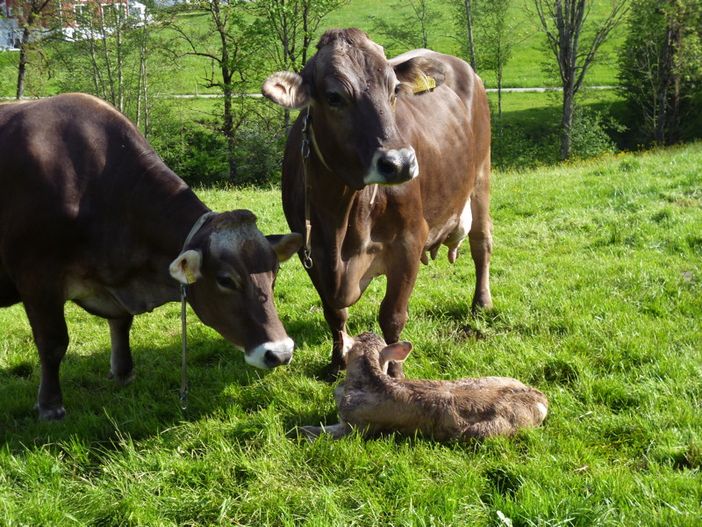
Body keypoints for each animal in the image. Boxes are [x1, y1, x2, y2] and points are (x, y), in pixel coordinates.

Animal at [264, 28, 496, 378]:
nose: (400, 163)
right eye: (334, 96)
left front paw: (395, 373)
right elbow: (334, 314)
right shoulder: (310, 250)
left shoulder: (409, 241)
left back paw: (481, 303)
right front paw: (337, 363)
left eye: (394, 90)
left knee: (481, 242)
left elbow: (392, 315)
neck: (341, 214)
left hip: (481, 175)